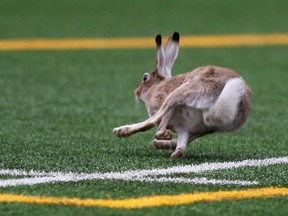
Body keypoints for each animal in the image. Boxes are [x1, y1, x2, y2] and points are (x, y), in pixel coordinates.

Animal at [113, 31, 252, 158]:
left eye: (144, 78)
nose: (136, 92)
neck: (156, 87)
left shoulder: (162, 98)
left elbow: (161, 119)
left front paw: (165, 134)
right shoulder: (185, 129)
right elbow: (182, 143)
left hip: (183, 92)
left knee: (153, 121)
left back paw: (121, 131)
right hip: (207, 127)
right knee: (182, 147)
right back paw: (163, 146)